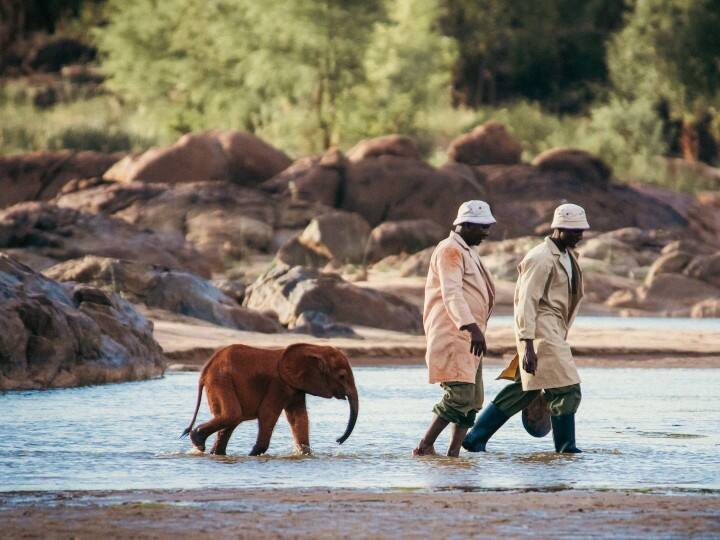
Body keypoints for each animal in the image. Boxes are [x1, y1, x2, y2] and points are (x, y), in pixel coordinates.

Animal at [181, 342, 358, 456]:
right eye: (342, 376)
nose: (338, 440)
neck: (315, 348)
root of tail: (205, 370)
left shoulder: (295, 386)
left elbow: (298, 418)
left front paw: (304, 454)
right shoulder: (278, 383)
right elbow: (268, 413)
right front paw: (253, 454)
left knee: (230, 421)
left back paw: (213, 452)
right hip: (220, 380)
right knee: (233, 415)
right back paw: (198, 442)